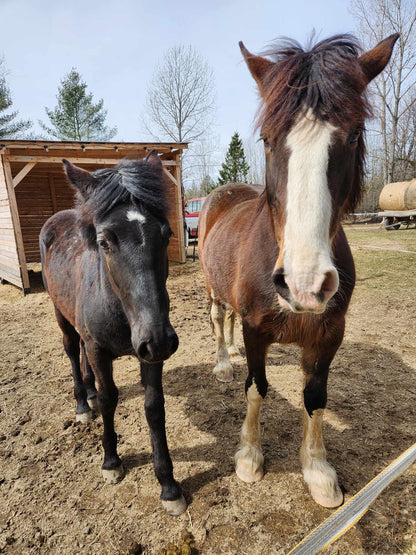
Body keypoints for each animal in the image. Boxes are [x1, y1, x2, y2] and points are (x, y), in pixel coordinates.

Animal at [40, 152, 187, 516]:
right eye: (104, 241)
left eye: (166, 234)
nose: (159, 338)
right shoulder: (100, 349)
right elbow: (110, 399)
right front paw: (111, 461)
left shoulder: (150, 352)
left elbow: (154, 407)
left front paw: (168, 485)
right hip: (62, 316)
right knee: (72, 351)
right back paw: (83, 404)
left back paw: (89, 392)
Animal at [200, 34, 398, 510]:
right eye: (266, 139)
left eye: (355, 135)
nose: (304, 284)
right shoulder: (256, 328)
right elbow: (257, 387)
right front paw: (250, 456)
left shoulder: (328, 336)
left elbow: (315, 397)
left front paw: (318, 470)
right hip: (213, 289)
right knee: (219, 319)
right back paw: (223, 361)